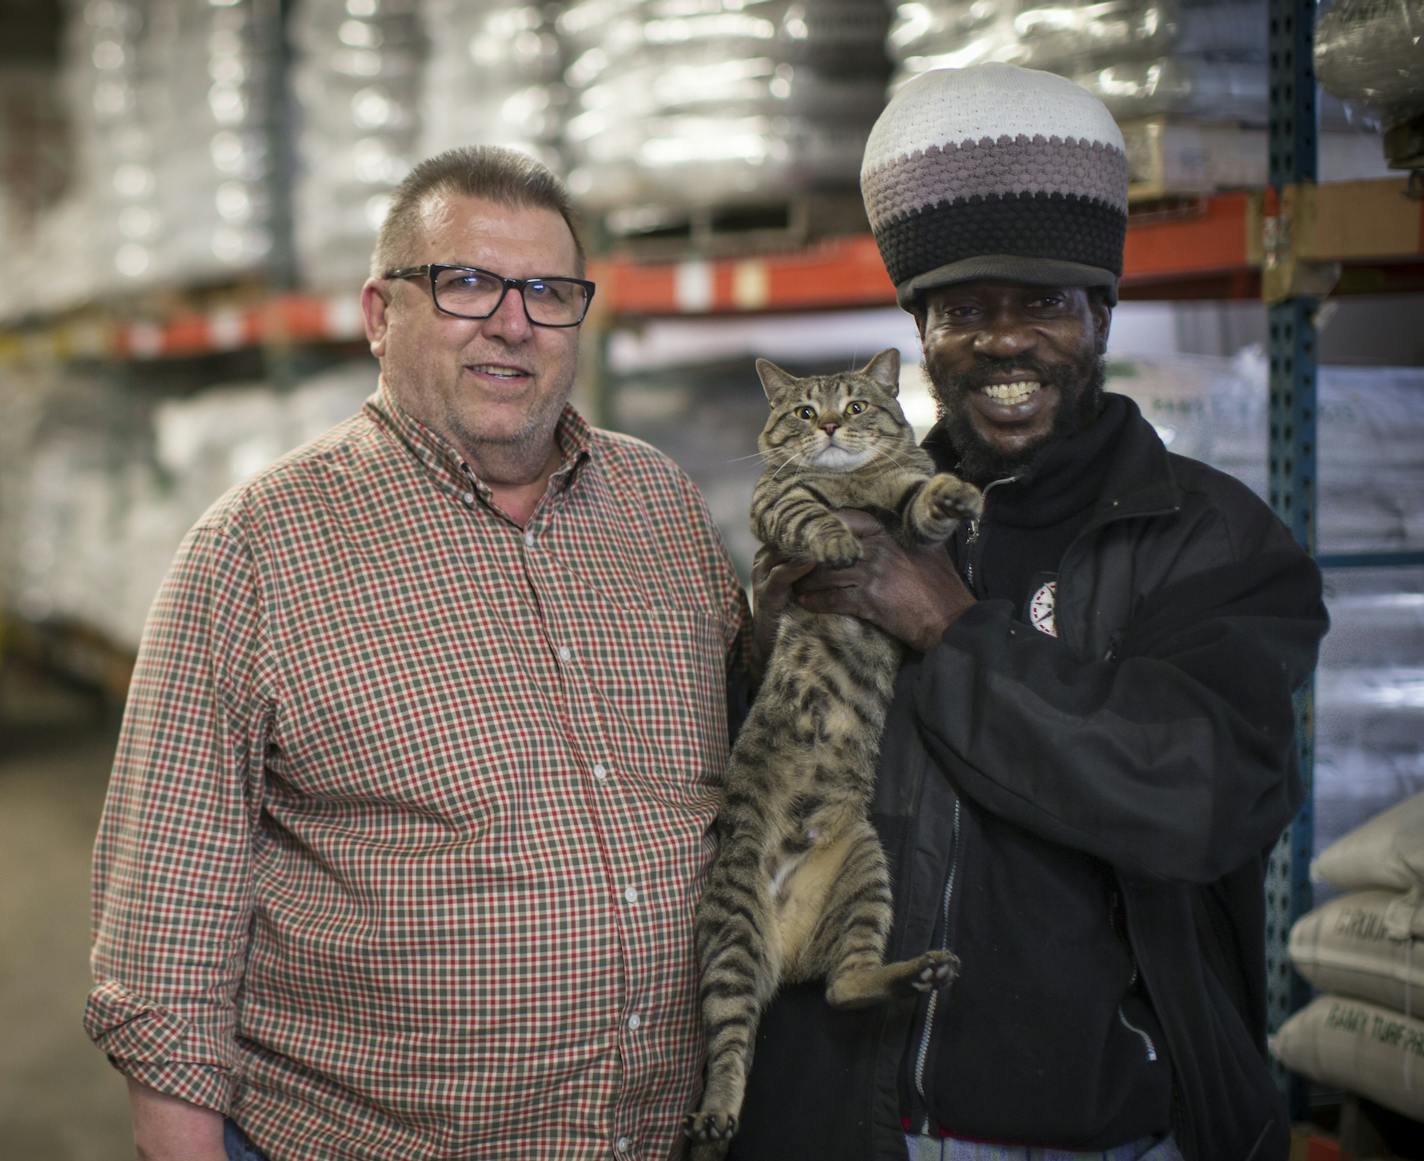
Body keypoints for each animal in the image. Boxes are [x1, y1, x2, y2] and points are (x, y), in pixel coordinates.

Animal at [686, 349, 979, 1156]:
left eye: (855, 406)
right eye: (803, 411)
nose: (828, 430)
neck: (850, 481)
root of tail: (783, 949)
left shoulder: (898, 496)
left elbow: (919, 493)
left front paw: (954, 493)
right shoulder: (772, 501)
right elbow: (807, 512)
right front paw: (840, 538)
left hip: (866, 880)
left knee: (845, 987)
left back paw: (919, 972)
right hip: (728, 937)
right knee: (731, 1045)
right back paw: (716, 1113)